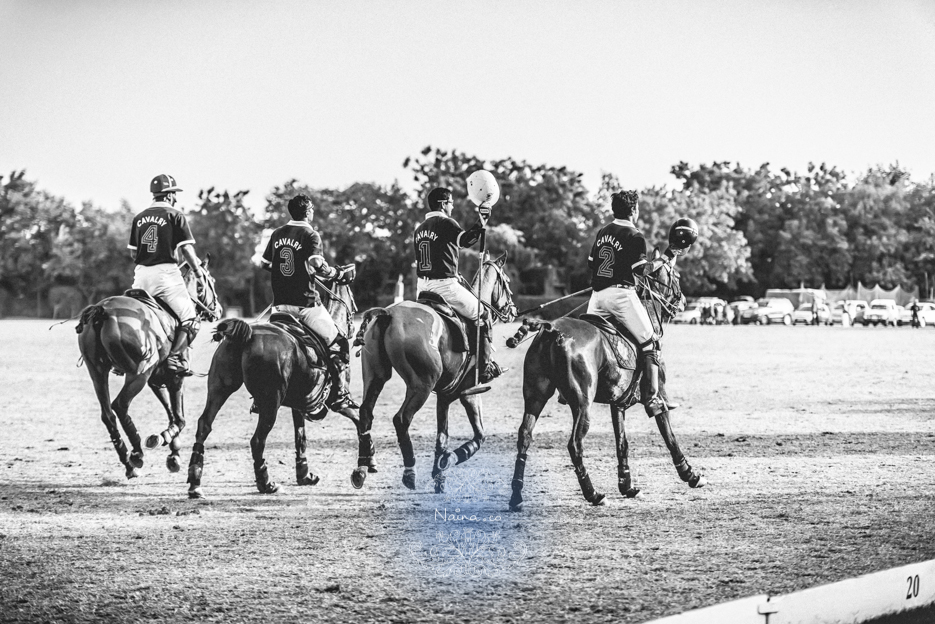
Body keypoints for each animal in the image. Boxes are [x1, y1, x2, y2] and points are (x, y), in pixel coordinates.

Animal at [76, 258, 222, 478]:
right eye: (211, 280)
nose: (218, 310)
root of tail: (102, 310)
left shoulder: (157, 379)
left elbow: (171, 413)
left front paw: (174, 455)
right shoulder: (175, 378)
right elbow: (179, 418)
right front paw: (163, 438)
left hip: (97, 371)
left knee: (108, 414)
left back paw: (127, 463)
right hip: (139, 373)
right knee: (120, 405)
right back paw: (136, 453)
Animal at [185, 274, 372, 498]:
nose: (356, 332)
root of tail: (248, 333)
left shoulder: (300, 403)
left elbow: (300, 436)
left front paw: (304, 475)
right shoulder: (337, 401)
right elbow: (360, 420)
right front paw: (364, 466)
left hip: (219, 387)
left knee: (204, 425)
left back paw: (195, 481)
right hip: (270, 402)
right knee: (257, 441)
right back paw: (266, 483)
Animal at [354, 252, 520, 492]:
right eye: (506, 281)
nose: (514, 311)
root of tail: (388, 314)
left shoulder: (444, 396)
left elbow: (442, 436)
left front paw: (439, 476)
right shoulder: (470, 393)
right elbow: (479, 436)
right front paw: (447, 462)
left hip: (376, 375)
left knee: (365, 413)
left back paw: (361, 468)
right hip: (421, 384)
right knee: (401, 419)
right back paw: (409, 472)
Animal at [508, 250, 704, 512]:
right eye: (676, 277)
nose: (682, 301)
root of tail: (550, 329)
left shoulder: (617, 404)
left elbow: (622, 443)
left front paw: (628, 486)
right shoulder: (658, 396)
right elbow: (669, 436)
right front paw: (691, 475)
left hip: (535, 395)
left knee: (524, 436)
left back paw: (516, 496)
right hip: (582, 403)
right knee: (574, 444)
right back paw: (593, 494)